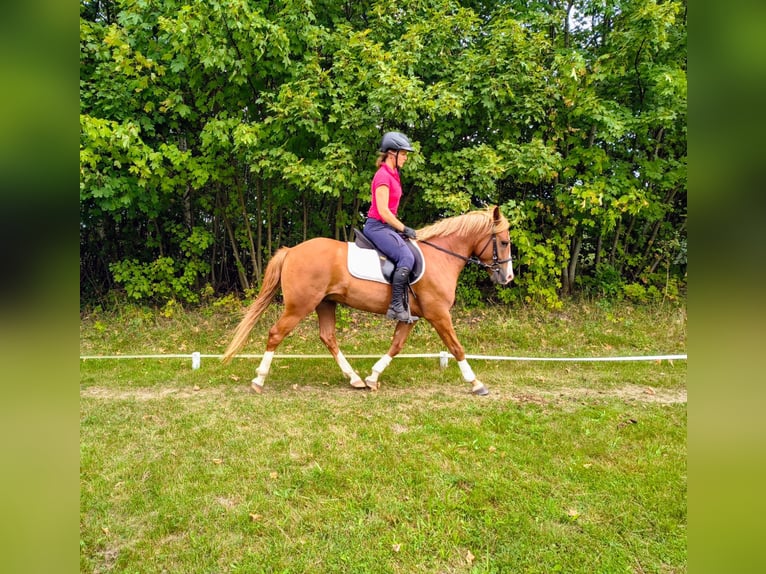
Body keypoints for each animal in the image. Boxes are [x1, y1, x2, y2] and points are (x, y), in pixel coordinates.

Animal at [222, 205, 514, 396]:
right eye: (503, 242)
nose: (508, 277)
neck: (440, 257)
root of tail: (292, 250)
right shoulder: (438, 314)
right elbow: (456, 347)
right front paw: (476, 383)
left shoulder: (412, 317)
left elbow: (396, 346)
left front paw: (373, 377)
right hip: (300, 306)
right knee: (276, 334)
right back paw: (259, 380)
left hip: (325, 303)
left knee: (328, 337)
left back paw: (354, 379)